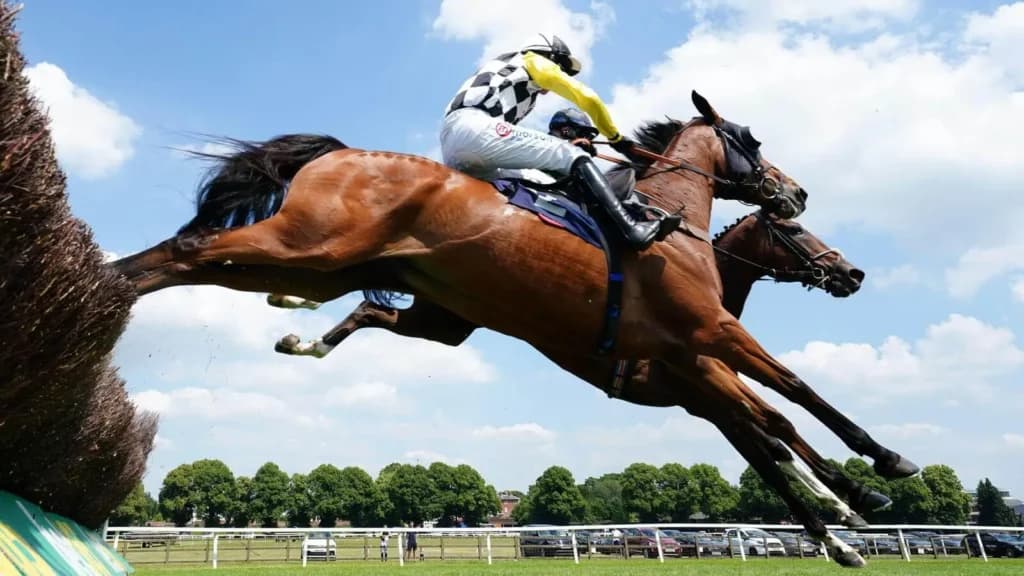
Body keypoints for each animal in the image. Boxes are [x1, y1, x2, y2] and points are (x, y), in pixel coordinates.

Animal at [111, 92, 909, 566]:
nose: (795, 192)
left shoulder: (696, 379)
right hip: (307, 247)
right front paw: (871, 482)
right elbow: (790, 405)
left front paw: (838, 522)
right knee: (186, 252)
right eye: (793, 228)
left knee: (329, 298)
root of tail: (339, 152)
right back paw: (103, 287)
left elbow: (768, 440)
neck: (670, 224)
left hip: (366, 284)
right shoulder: (708, 345)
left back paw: (284, 334)